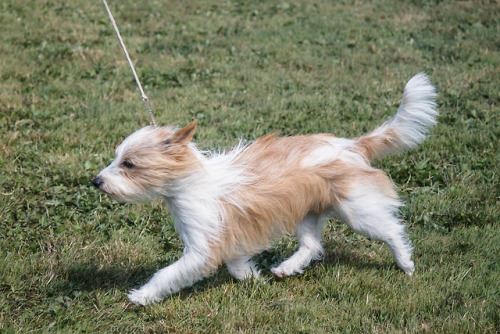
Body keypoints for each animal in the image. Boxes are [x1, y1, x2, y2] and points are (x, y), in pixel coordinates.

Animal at [92, 73, 436, 306]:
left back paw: (405, 263)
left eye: (129, 164)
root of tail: (352, 145)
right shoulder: (232, 237)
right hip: (307, 213)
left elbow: (168, 273)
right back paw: (285, 269)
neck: (191, 182)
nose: (96, 181)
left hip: (357, 210)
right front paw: (253, 279)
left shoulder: (201, 250)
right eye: (117, 158)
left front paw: (141, 295)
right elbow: (237, 265)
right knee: (312, 246)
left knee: (391, 230)